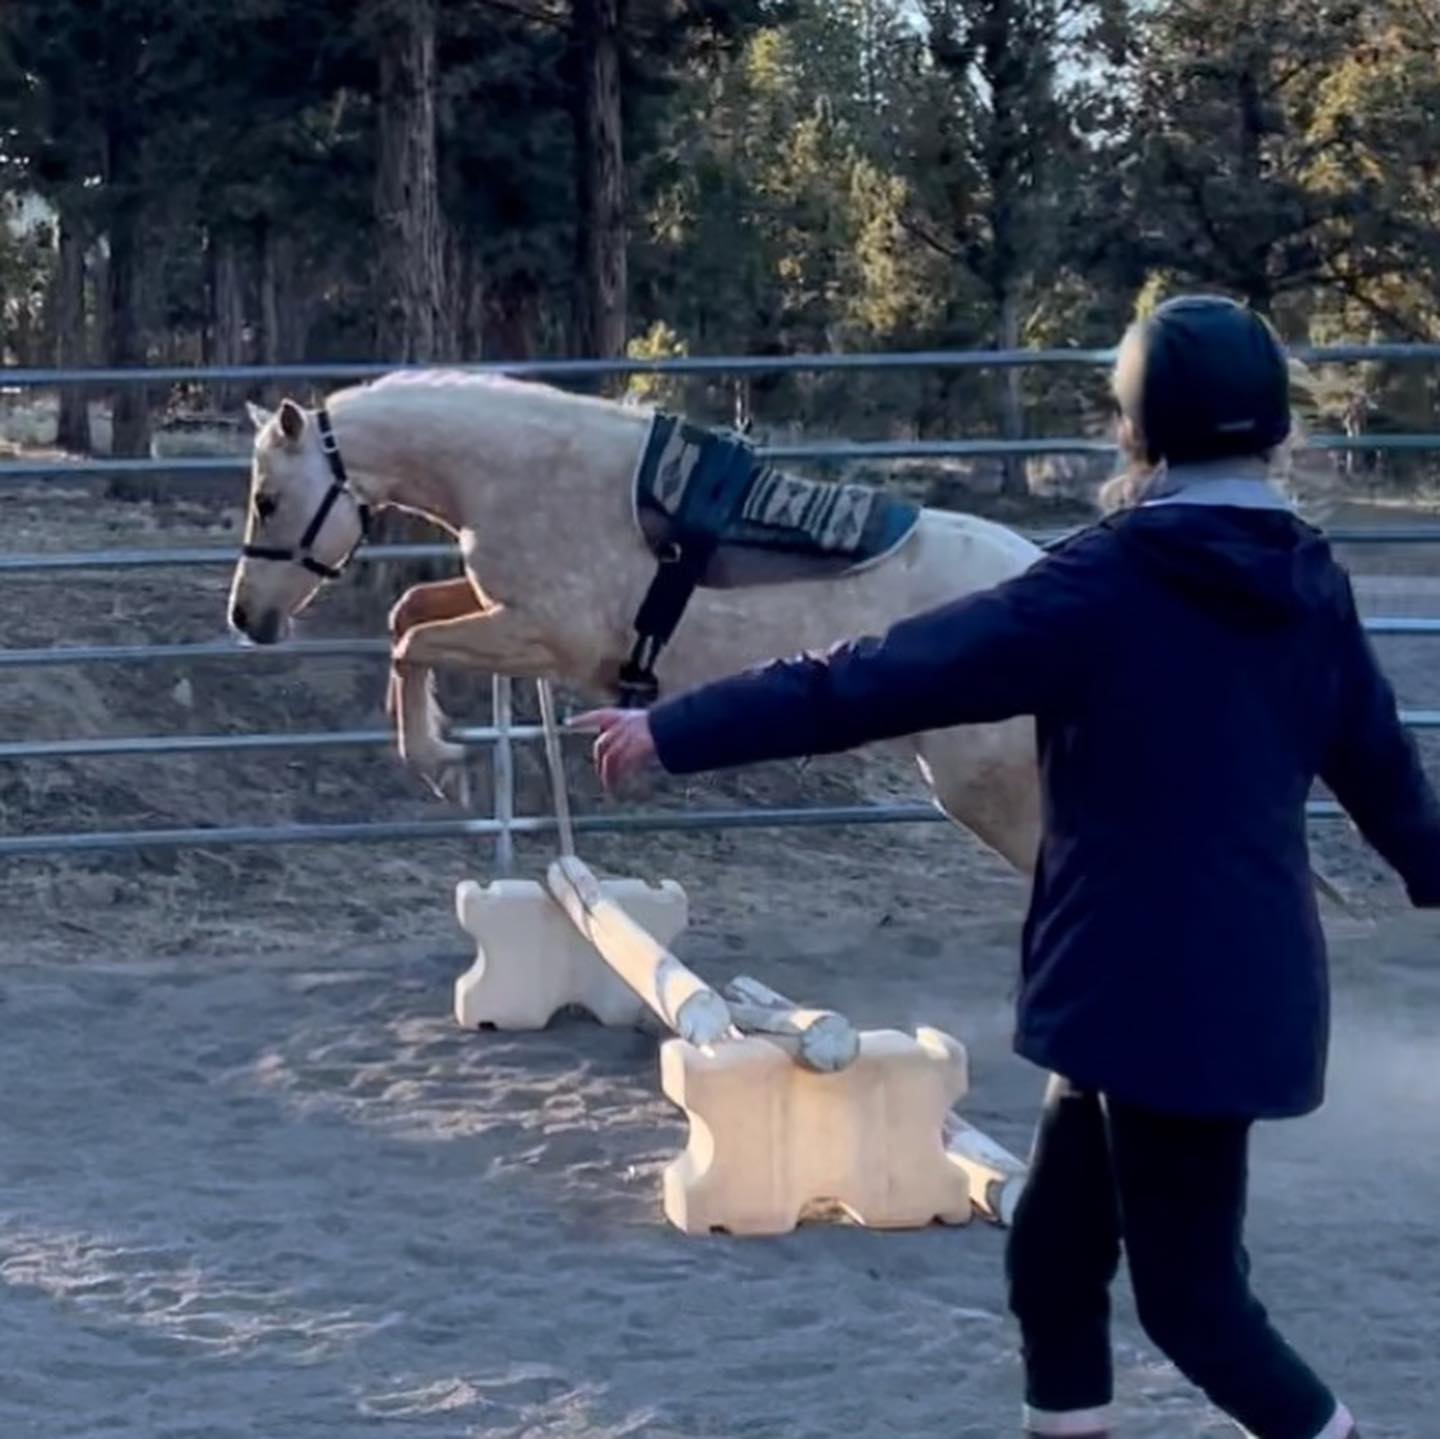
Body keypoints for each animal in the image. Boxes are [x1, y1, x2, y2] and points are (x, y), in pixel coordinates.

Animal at [226, 369, 1047, 874]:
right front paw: (443, 754)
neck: (524, 474)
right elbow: (410, 615)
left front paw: (436, 761)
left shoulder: (545, 639)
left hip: (990, 796)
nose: (245, 617)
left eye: (267, 500)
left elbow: (414, 641)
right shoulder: (499, 608)